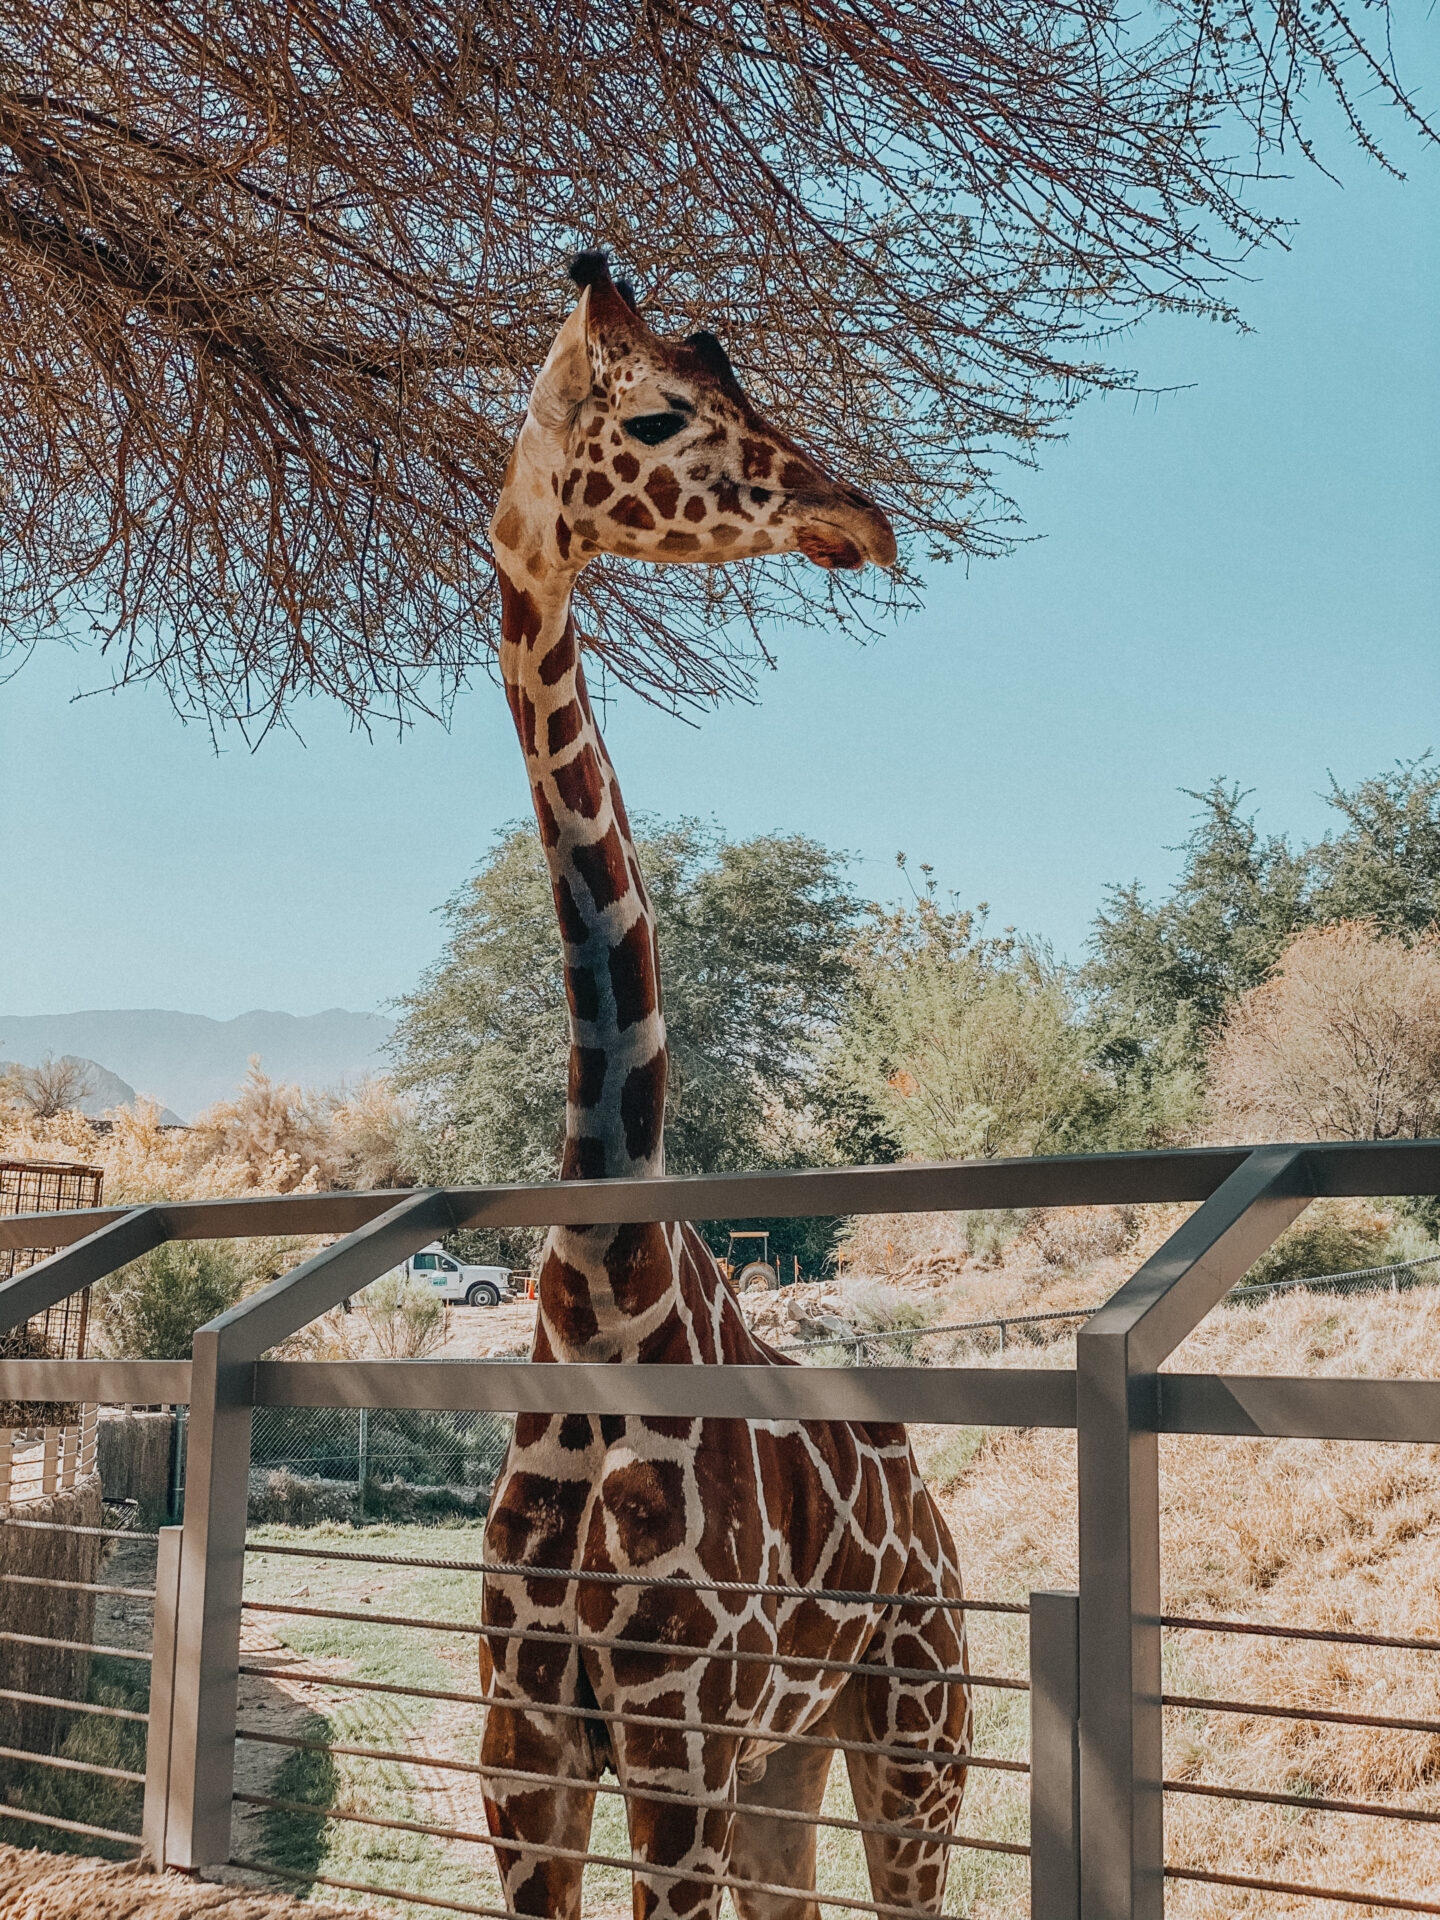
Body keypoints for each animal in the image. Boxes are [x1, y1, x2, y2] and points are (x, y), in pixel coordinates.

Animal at [481, 255, 971, 1920]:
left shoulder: (676, 1740)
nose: (860, 515)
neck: (598, 1291)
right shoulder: (526, 1750)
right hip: (784, 1767)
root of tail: (940, 1534)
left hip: (916, 1741)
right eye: (656, 415)